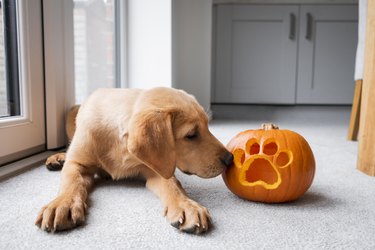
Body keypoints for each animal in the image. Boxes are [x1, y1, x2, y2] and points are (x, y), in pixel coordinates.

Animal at [36, 87, 234, 234]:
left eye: (208, 126)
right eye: (191, 135)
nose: (230, 158)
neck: (118, 144)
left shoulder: (157, 167)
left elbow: (173, 184)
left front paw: (186, 205)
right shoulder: (77, 163)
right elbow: (72, 181)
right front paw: (63, 203)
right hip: (71, 115)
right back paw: (58, 157)